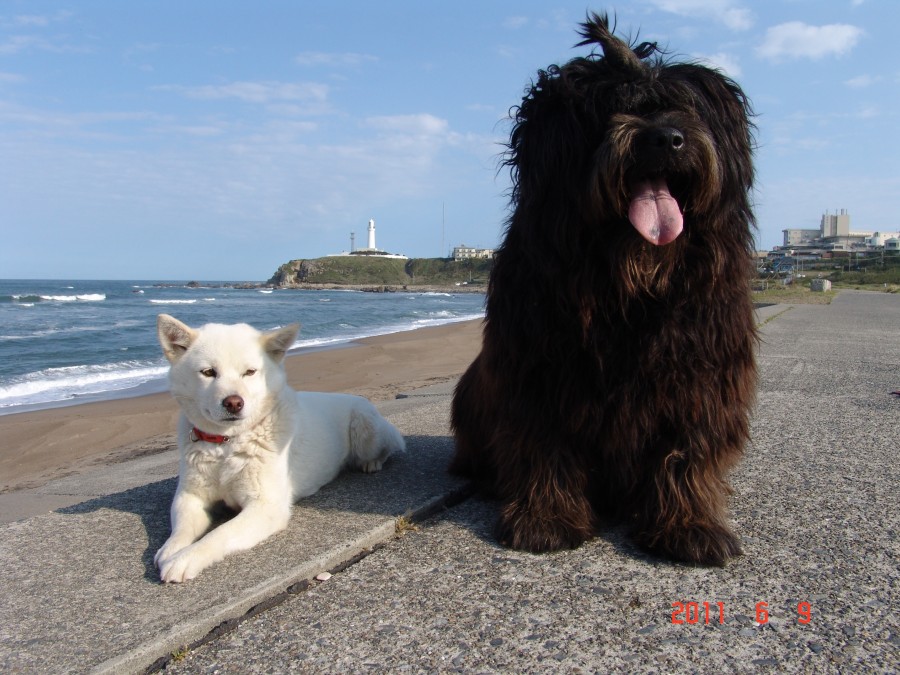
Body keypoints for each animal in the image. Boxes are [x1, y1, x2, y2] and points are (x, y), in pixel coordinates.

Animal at [155, 314, 405, 582]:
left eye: (250, 372)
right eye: (209, 372)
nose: (233, 403)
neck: (226, 444)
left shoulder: (266, 506)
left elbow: (219, 533)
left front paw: (184, 559)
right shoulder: (191, 495)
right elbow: (181, 527)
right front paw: (170, 549)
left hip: (365, 428)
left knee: (387, 448)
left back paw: (372, 462)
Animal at [450, 13, 757, 566]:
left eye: (683, 106)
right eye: (611, 107)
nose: (666, 139)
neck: (626, 281)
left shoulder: (703, 372)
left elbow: (687, 449)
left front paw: (689, 523)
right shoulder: (538, 370)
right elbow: (544, 443)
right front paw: (546, 519)